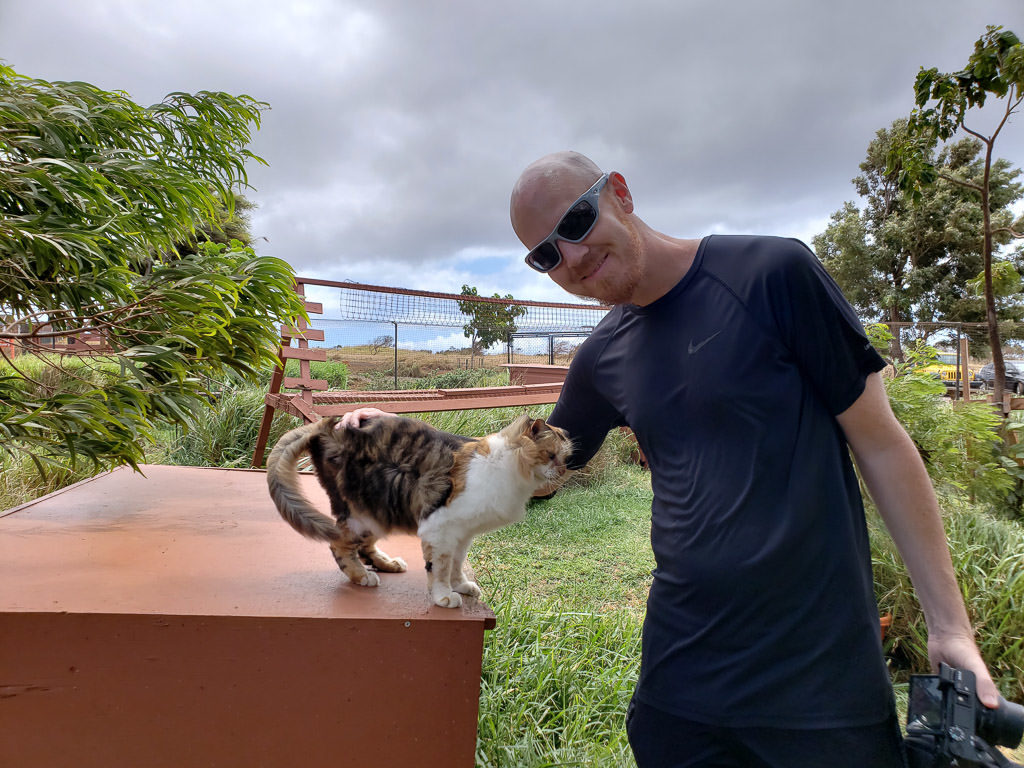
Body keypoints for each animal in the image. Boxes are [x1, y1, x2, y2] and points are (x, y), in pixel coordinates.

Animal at [266, 415, 577, 606]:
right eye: (551, 455)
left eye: (565, 458)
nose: (563, 471)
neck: (506, 468)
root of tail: (327, 424)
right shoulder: (440, 528)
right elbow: (439, 568)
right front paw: (443, 597)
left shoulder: (462, 534)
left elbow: (456, 564)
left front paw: (460, 585)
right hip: (362, 514)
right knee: (339, 546)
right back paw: (362, 576)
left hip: (380, 514)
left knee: (365, 547)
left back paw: (388, 564)